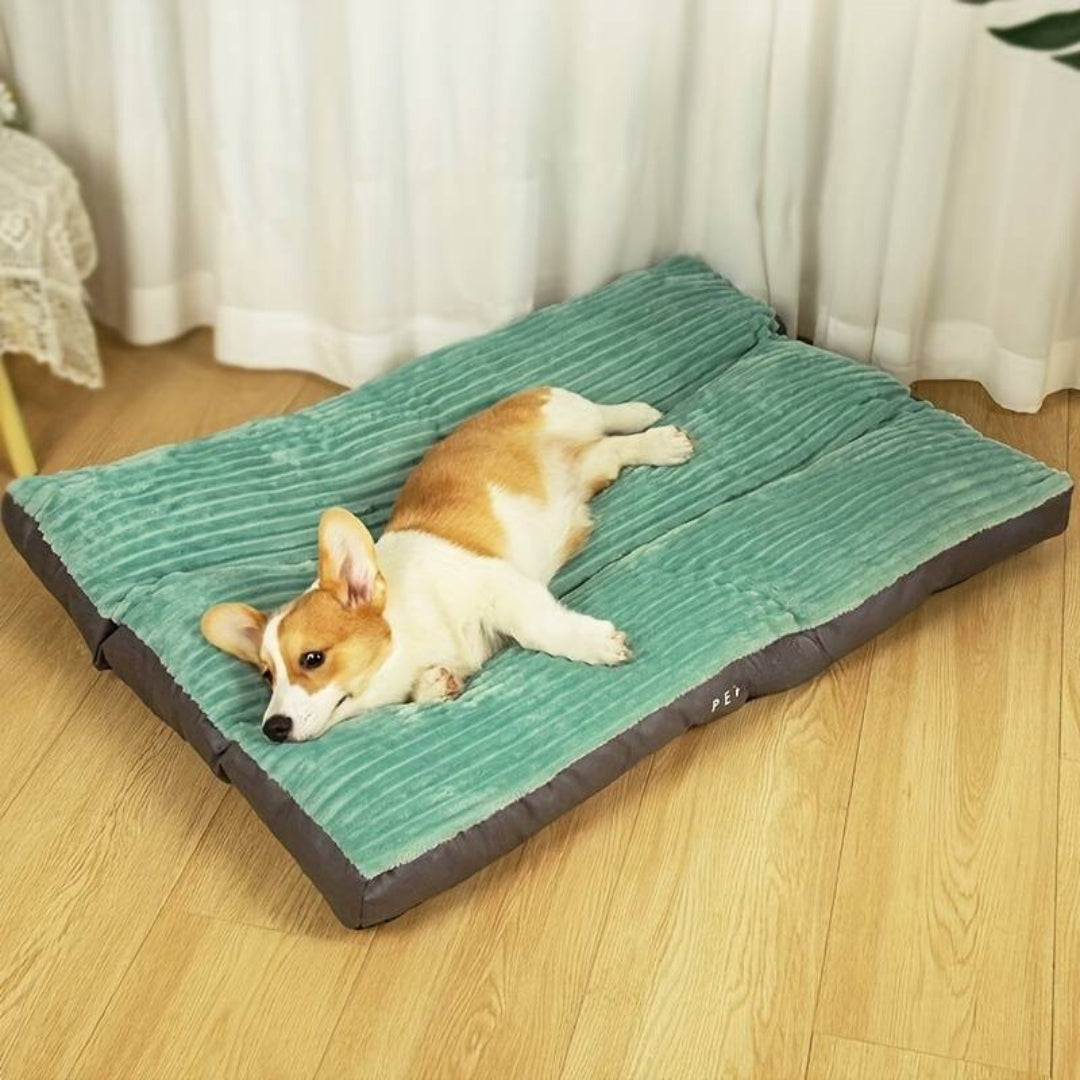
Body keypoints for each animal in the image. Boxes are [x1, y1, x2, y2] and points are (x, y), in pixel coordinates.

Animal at [201, 388, 691, 743]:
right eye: (266, 676)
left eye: (313, 658)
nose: (272, 729)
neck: (408, 638)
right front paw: (436, 684)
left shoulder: (499, 586)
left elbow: (539, 627)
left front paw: (597, 644)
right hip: (594, 468)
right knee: (611, 450)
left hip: (565, 411)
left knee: (607, 417)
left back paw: (650, 423)